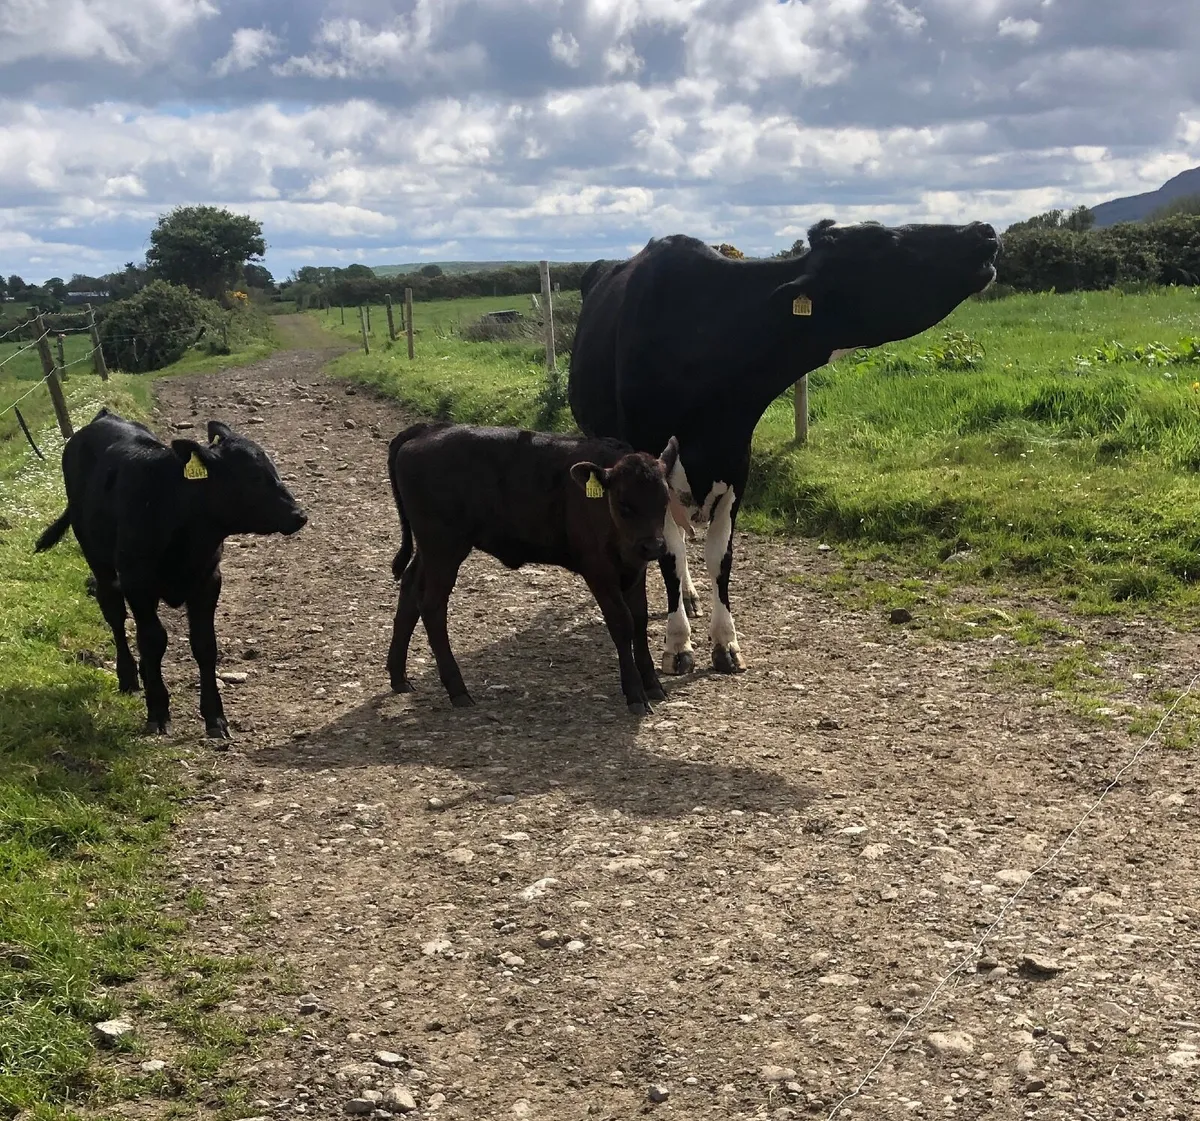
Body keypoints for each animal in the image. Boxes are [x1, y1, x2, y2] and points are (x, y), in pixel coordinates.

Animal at [34, 408, 307, 738]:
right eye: (253, 477)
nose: (298, 515)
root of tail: (103, 417)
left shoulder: (208, 580)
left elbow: (204, 643)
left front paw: (215, 717)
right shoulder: (137, 583)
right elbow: (153, 639)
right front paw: (158, 710)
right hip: (98, 561)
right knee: (115, 614)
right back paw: (129, 677)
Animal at [385, 421, 676, 715]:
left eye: (664, 501)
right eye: (624, 504)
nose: (653, 546)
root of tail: (429, 430)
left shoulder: (635, 568)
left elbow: (640, 619)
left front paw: (652, 684)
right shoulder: (599, 571)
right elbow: (622, 623)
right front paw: (635, 693)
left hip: (431, 550)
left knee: (410, 587)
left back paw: (399, 676)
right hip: (443, 547)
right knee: (432, 605)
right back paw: (457, 689)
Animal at [568, 218, 1001, 677]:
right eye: (884, 240)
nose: (984, 229)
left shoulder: (736, 464)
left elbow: (719, 558)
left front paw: (725, 642)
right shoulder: (654, 464)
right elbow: (669, 556)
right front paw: (678, 645)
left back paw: (690, 595)